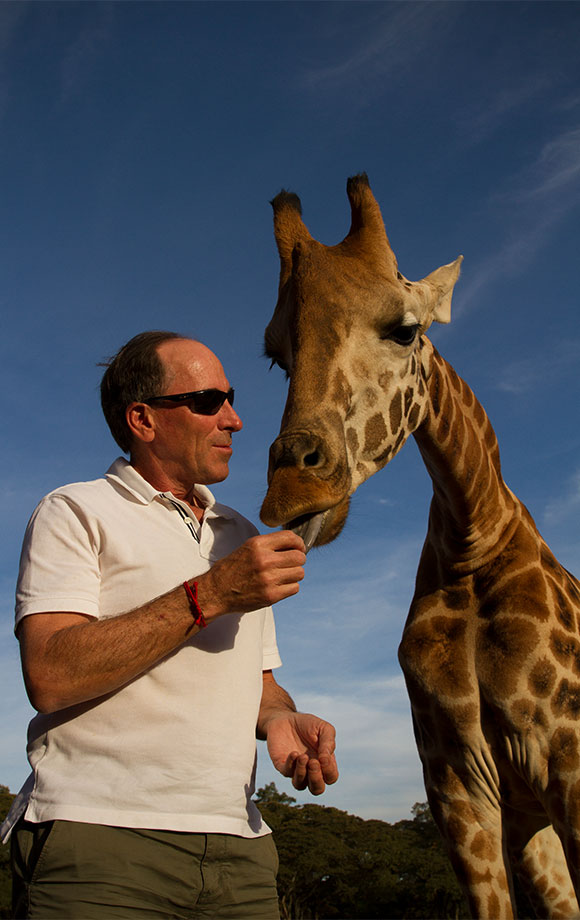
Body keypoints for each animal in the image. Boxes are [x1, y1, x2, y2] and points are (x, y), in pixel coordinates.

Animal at [260, 174, 580, 920]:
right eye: (276, 354)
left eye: (406, 330)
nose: (291, 492)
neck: (474, 538)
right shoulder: (460, 785)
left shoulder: (567, 762)